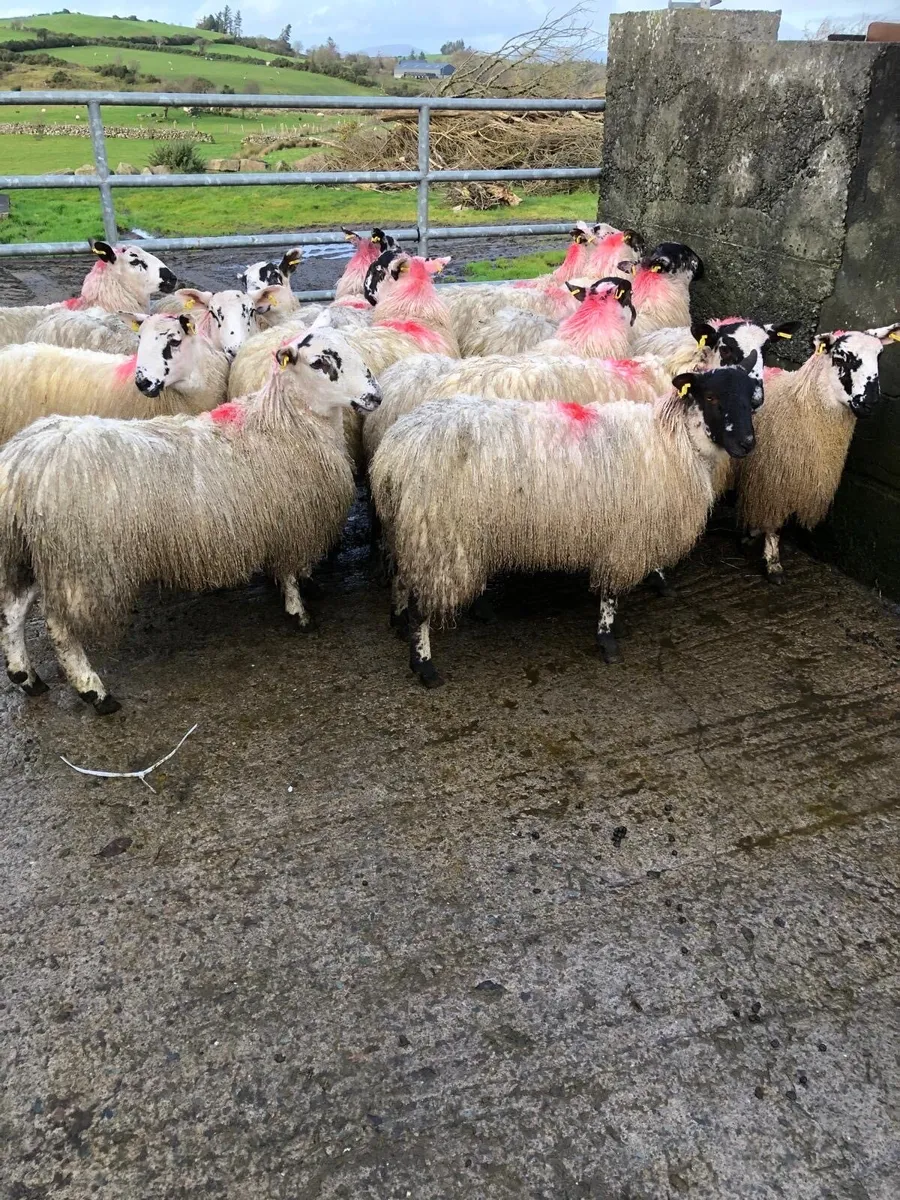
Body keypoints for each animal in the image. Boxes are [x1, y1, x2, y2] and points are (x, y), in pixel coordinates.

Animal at [0, 328, 382, 714]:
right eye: (320, 362)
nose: (375, 395)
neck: (285, 421)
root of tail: (23, 460)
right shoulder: (290, 522)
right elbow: (289, 574)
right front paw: (299, 614)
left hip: (32, 550)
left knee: (13, 610)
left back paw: (25, 676)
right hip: (81, 562)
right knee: (60, 627)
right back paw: (93, 691)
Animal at [371, 366, 759, 686]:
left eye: (751, 400)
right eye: (711, 397)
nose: (747, 443)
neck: (671, 441)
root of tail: (393, 453)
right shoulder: (624, 536)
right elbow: (610, 593)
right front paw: (607, 641)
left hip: (410, 531)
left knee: (401, 577)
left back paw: (398, 621)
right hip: (439, 538)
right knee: (421, 607)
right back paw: (424, 666)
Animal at [736, 324, 900, 582]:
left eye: (879, 356)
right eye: (841, 357)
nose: (870, 402)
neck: (798, 404)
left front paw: (751, 534)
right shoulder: (774, 478)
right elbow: (774, 525)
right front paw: (773, 564)